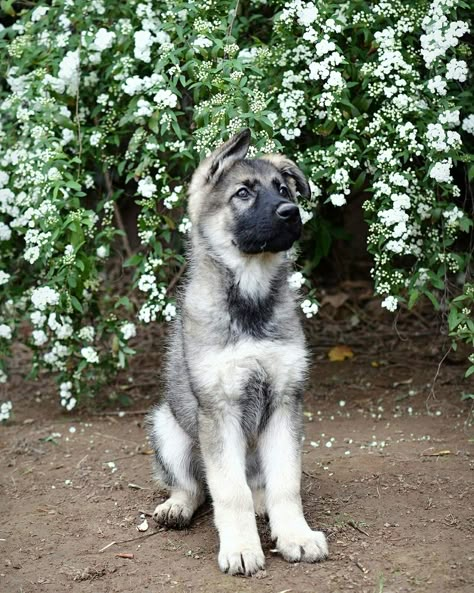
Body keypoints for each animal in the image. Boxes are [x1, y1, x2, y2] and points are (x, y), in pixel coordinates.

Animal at [146, 130, 328, 572]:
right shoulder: (219, 408)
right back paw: (177, 506)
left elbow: (286, 485)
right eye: (243, 193)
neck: (251, 300)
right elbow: (229, 492)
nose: (291, 212)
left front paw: (296, 536)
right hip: (168, 428)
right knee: (195, 487)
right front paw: (242, 548)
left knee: (258, 486)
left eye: (283, 189)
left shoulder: (284, 403)